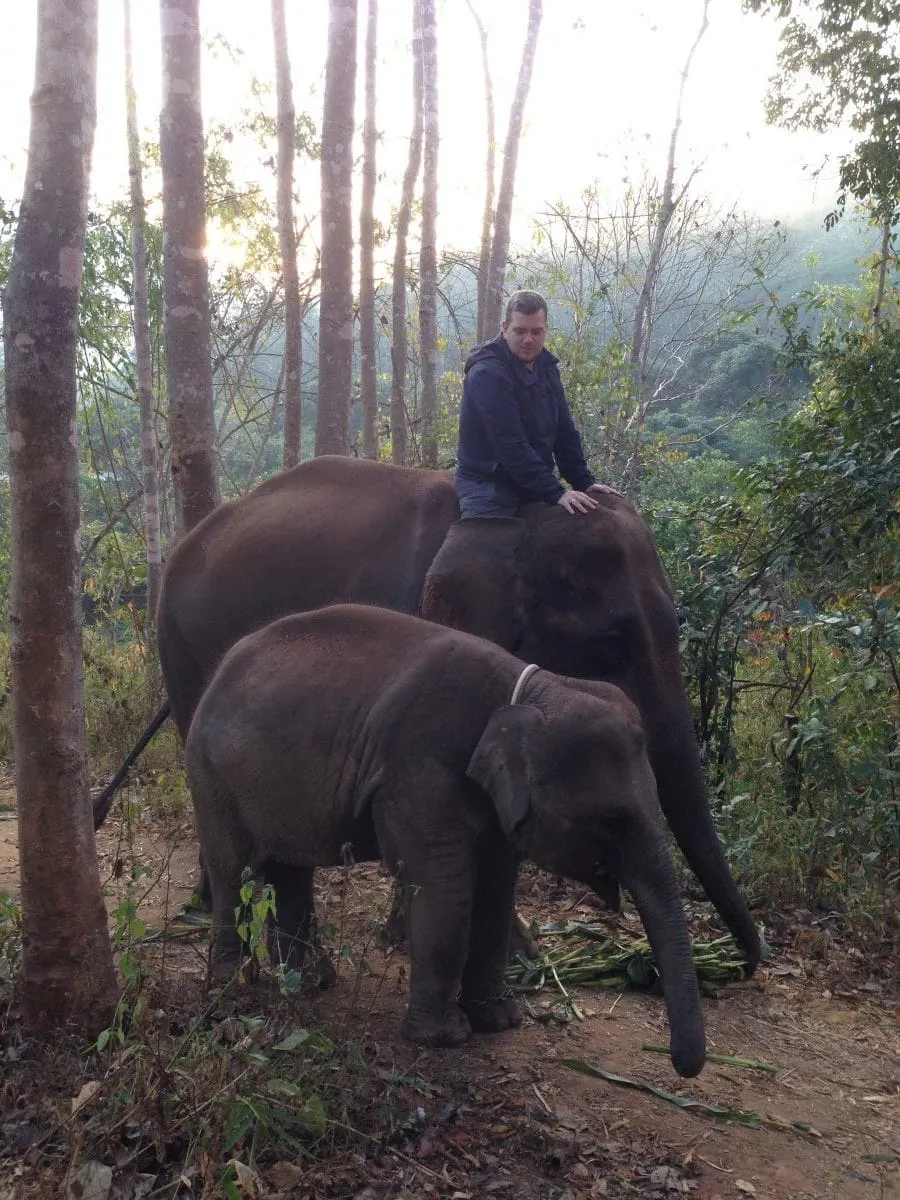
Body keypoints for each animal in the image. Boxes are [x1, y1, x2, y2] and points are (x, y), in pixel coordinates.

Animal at [95, 455, 760, 973]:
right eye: (613, 642)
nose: (748, 961)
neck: (511, 513)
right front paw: (505, 951)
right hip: (178, 641)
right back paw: (218, 900)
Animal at [185, 602, 707, 1078]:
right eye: (614, 820)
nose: (680, 1066)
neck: (530, 691)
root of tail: (217, 673)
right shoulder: (418, 769)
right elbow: (445, 887)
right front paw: (445, 1038)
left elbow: (495, 890)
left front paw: (501, 1021)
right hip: (210, 774)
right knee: (233, 867)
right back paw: (236, 984)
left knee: (290, 870)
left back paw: (311, 982)